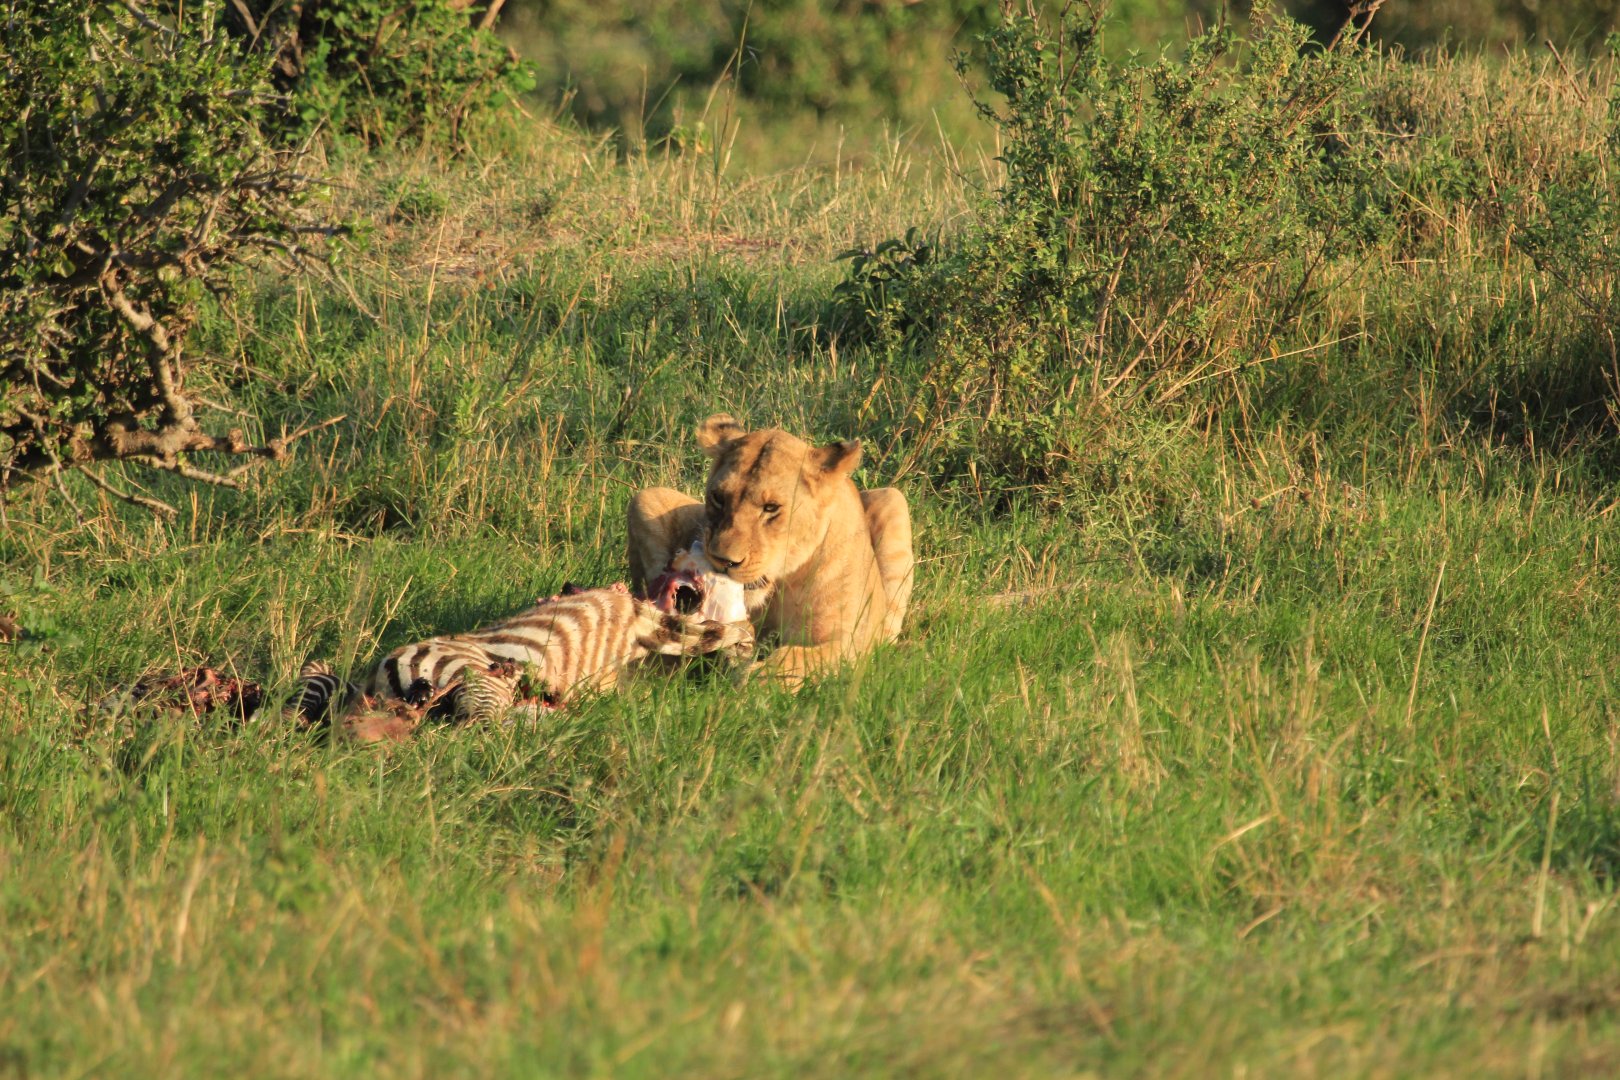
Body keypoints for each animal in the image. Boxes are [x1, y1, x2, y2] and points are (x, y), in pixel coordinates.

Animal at [626, 414, 914, 686]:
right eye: (719, 498)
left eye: (771, 508)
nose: (723, 561)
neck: (781, 585)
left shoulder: (849, 645)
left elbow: (793, 660)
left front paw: (747, 683)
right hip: (645, 497)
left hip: (893, 499)